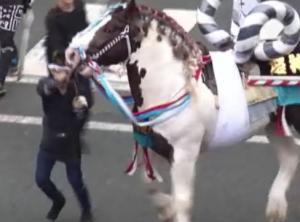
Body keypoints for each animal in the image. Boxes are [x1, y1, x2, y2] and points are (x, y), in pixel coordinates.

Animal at [64, 0, 300, 222]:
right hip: (274, 125)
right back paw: (275, 210)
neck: (171, 88)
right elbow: (149, 183)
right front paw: (166, 209)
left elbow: (183, 201)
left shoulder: (184, 152)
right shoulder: (156, 146)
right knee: (290, 157)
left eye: (111, 28)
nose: (70, 54)